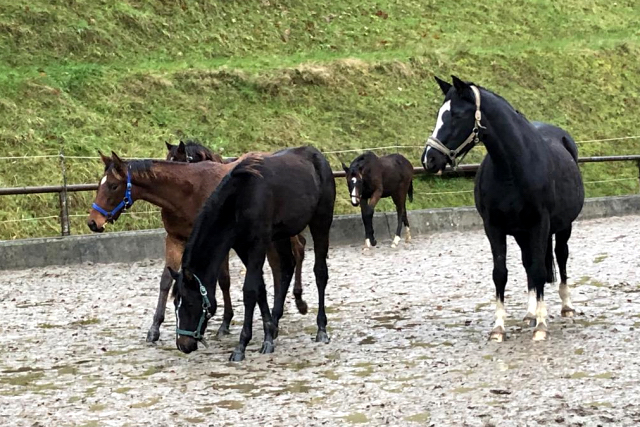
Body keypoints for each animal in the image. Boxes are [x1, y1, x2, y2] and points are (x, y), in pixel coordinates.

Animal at [87, 151, 310, 344]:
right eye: (99, 185)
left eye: (113, 186)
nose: (93, 222)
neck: (187, 193)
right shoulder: (176, 240)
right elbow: (166, 281)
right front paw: (154, 328)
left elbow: (224, 280)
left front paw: (225, 322)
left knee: (291, 257)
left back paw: (293, 306)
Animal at [172, 146, 338, 362]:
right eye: (175, 303)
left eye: (190, 303)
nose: (183, 345)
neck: (241, 197)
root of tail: (316, 155)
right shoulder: (242, 246)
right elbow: (260, 288)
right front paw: (268, 335)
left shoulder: (258, 244)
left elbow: (250, 290)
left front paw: (241, 345)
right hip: (281, 235)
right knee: (286, 268)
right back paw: (275, 324)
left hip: (320, 222)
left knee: (320, 273)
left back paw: (321, 329)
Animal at [422, 77, 584, 342]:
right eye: (439, 114)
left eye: (456, 115)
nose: (429, 159)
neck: (512, 167)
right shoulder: (494, 228)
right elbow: (501, 273)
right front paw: (499, 327)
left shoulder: (540, 225)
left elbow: (540, 270)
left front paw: (541, 326)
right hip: (521, 233)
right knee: (528, 264)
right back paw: (530, 313)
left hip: (562, 228)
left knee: (560, 257)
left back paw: (566, 307)